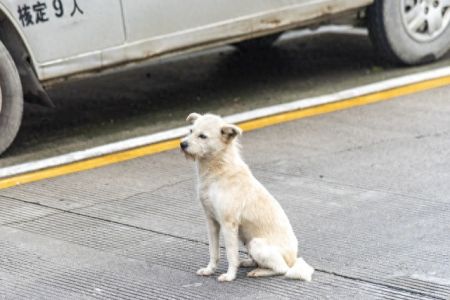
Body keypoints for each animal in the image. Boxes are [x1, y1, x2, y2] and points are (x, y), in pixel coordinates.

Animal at [179, 112, 312, 282]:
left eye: (203, 136)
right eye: (190, 131)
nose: (182, 144)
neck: (218, 170)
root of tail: (294, 260)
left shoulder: (228, 224)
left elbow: (230, 254)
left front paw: (230, 276)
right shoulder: (211, 221)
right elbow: (213, 251)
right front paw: (210, 270)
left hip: (256, 243)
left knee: (282, 269)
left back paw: (260, 271)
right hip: (247, 242)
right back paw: (249, 263)